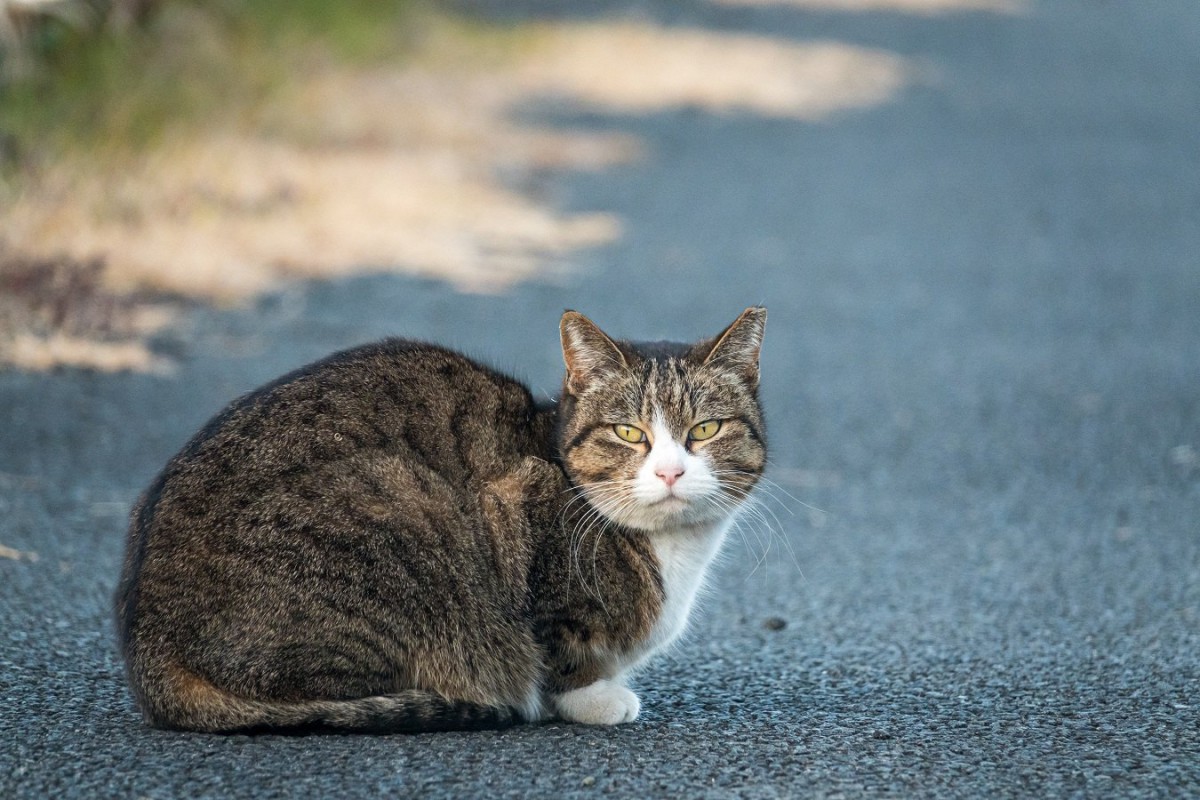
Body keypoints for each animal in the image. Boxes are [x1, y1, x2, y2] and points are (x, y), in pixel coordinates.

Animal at [114, 307, 768, 734]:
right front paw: (593, 700)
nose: (670, 472)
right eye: (629, 433)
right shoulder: (515, 506)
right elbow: (557, 648)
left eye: (705, 430)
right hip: (400, 502)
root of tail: (147, 645)